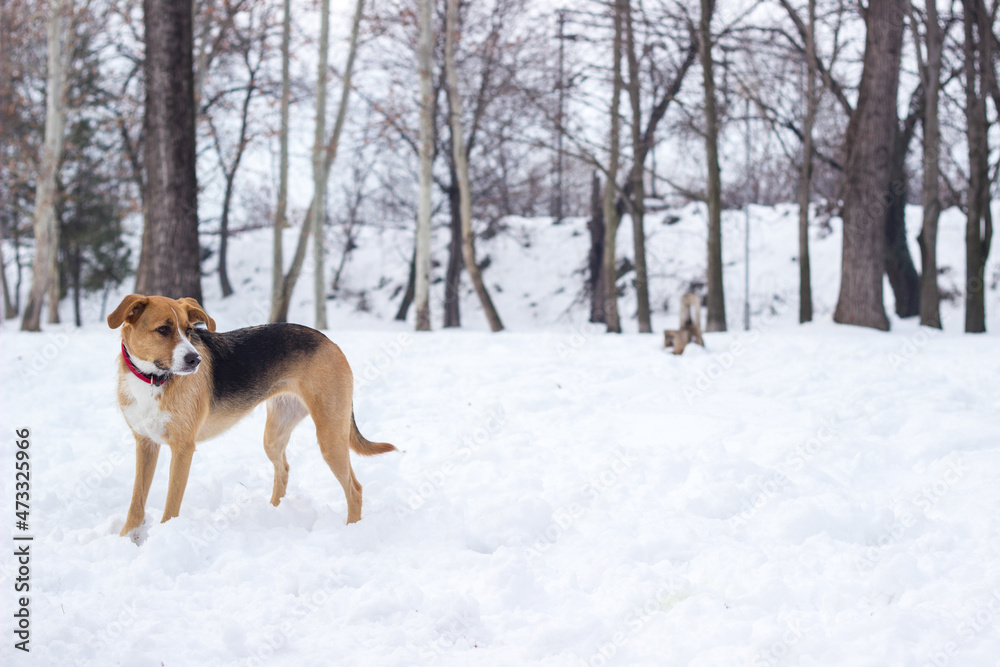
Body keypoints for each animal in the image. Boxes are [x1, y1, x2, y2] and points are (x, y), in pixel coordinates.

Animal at [106, 292, 394, 536]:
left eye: (189, 330)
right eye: (163, 330)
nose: (195, 360)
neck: (152, 379)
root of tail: (328, 340)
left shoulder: (183, 449)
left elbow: (171, 506)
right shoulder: (145, 444)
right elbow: (136, 502)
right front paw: (127, 538)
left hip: (330, 436)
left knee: (354, 489)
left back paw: (352, 531)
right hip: (274, 435)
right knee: (283, 470)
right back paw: (275, 513)